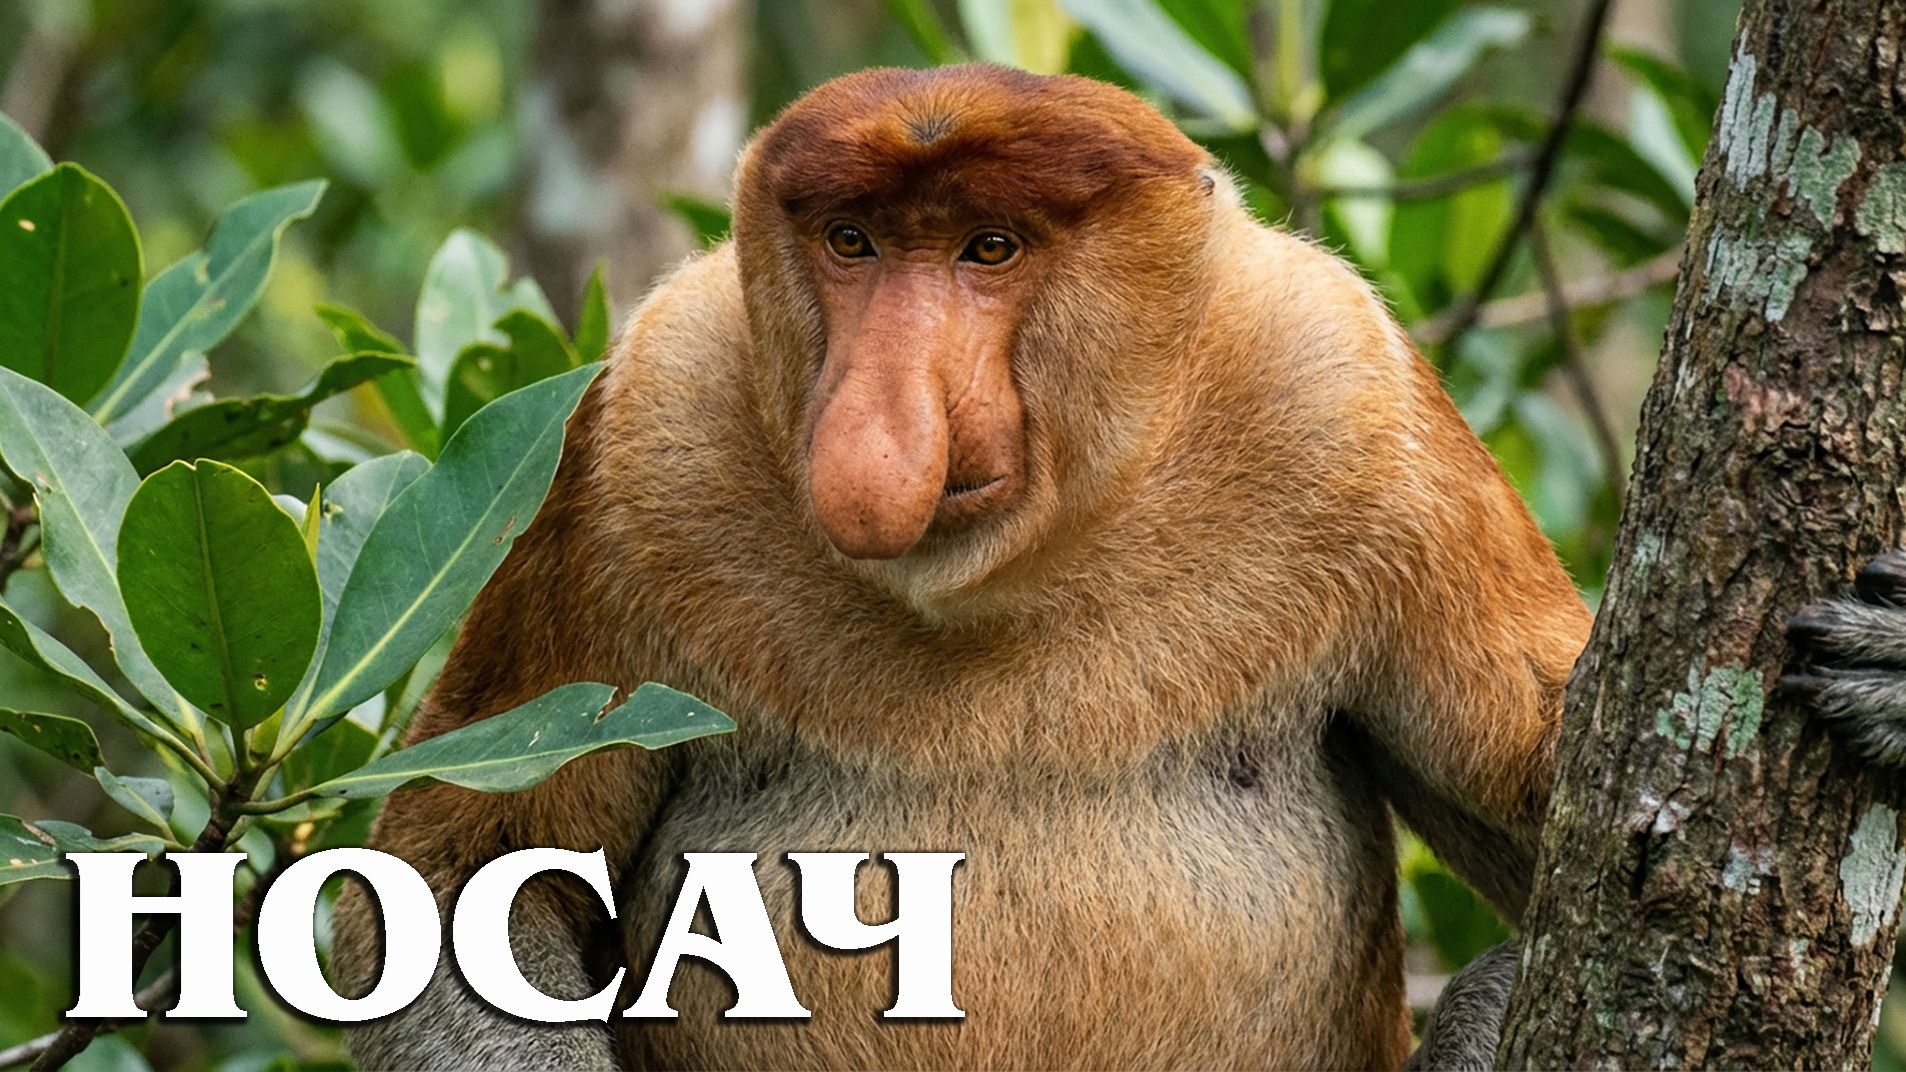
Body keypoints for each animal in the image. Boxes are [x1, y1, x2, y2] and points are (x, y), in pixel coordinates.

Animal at [331, 65, 1906, 1070]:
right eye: (852, 243)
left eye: (986, 248)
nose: (876, 427)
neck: (1010, 572)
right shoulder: (641, 436)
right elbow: (465, 883)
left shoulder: (1353, 402)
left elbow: (1566, 808)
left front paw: (1891, 680)